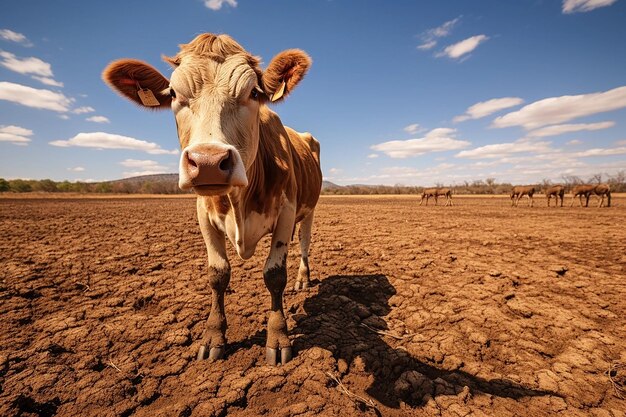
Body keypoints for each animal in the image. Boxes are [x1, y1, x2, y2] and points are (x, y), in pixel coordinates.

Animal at [101, 33, 322, 364]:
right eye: (173, 94)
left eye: (253, 92)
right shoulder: (203, 216)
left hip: (308, 210)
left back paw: (304, 279)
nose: (207, 161)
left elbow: (274, 275)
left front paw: (278, 337)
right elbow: (218, 275)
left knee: (305, 244)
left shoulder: (286, 211)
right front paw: (213, 336)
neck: (239, 200)